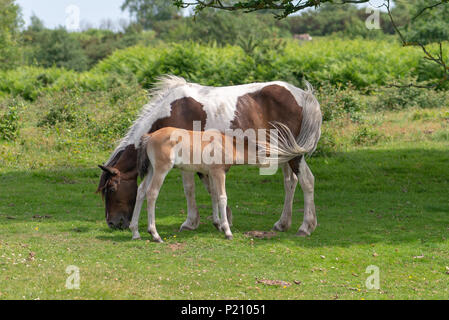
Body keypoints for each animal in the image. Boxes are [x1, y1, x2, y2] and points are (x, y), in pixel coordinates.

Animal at [98, 75, 322, 235]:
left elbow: (190, 189)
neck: (172, 110)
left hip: (294, 155)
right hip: (284, 154)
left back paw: (306, 227)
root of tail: (303, 95)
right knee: (290, 183)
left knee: (307, 181)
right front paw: (222, 220)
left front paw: (191, 222)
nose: (112, 223)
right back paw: (282, 224)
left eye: (111, 188)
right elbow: (211, 188)